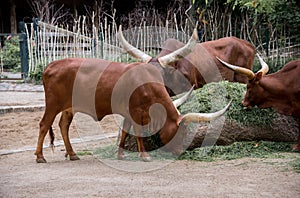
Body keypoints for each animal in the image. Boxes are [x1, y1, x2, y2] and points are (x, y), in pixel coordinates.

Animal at [35, 38, 232, 163]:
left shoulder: (128, 112)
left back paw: (72, 154)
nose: (179, 152)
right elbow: (137, 132)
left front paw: (120, 154)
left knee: (63, 126)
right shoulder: (136, 112)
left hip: (68, 107)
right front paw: (144, 156)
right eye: (181, 132)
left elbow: (124, 131)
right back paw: (40, 156)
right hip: (52, 104)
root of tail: (51, 65)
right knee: (44, 124)